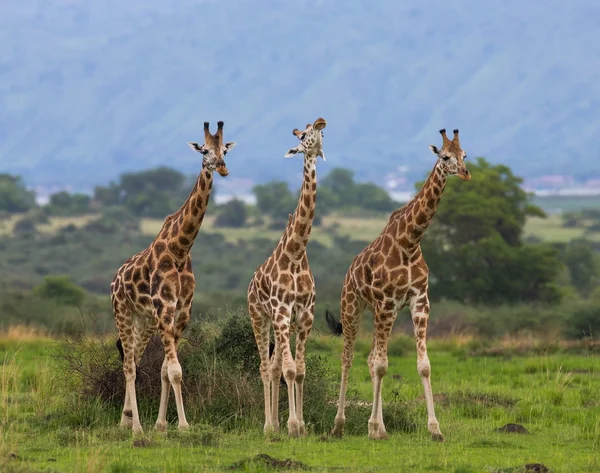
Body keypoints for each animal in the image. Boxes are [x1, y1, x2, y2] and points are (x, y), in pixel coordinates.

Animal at [110, 120, 237, 434]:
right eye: (204, 150)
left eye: (224, 149)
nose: (222, 167)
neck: (180, 249)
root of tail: (115, 279)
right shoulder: (165, 308)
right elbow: (176, 370)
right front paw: (183, 425)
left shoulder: (181, 313)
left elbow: (166, 370)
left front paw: (161, 424)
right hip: (122, 312)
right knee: (128, 366)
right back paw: (135, 427)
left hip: (143, 320)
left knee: (134, 359)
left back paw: (126, 419)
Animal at [246, 116, 326, 436]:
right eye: (303, 135)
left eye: (320, 131)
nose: (321, 122)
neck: (295, 252)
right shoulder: (280, 310)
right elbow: (290, 369)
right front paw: (293, 425)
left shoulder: (304, 313)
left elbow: (299, 370)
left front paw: (300, 425)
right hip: (259, 317)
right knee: (265, 367)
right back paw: (269, 426)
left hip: (284, 323)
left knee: (275, 364)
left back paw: (276, 424)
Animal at [326, 128, 472, 438]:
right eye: (445, 156)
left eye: (465, 154)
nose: (465, 173)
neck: (409, 242)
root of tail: (348, 273)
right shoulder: (385, 301)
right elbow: (382, 365)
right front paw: (373, 429)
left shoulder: (419, 301)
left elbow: (423, 365)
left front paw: (434, 429)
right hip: (353, 307)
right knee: (348, 357)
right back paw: (339, 425)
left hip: (385, 313)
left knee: (370, 358)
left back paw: (378, 425)